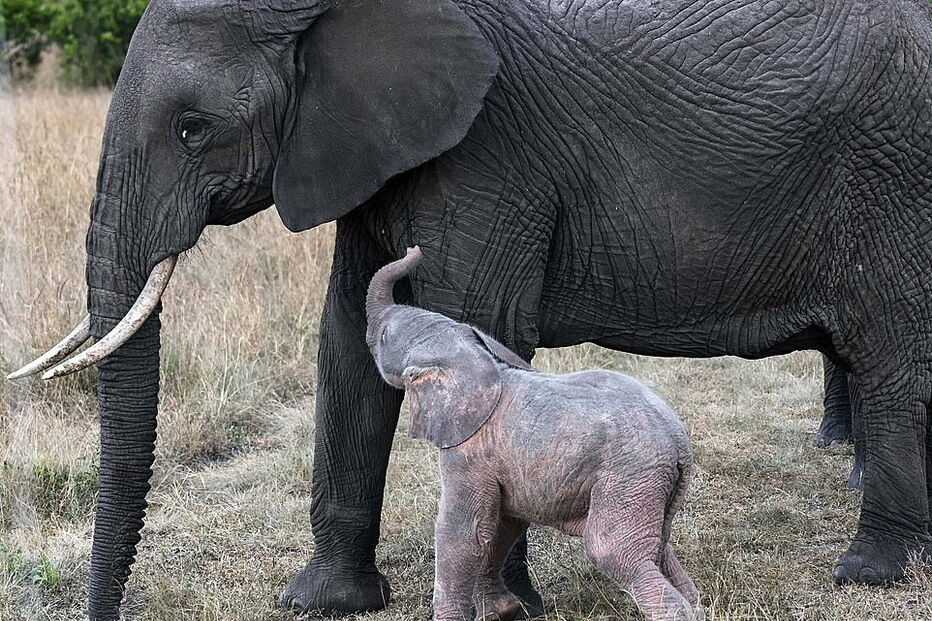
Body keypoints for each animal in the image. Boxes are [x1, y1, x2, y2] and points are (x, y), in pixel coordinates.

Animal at [366, 247, 699, 621]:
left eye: (383, 337)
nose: (414, 250)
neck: (474, 358)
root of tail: (680, 444)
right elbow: (501, 525)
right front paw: (504, 610)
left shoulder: (468, 453)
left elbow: (463, 532)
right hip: (650, 485)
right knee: (659, 550)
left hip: (630, 477)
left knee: (613, 550)